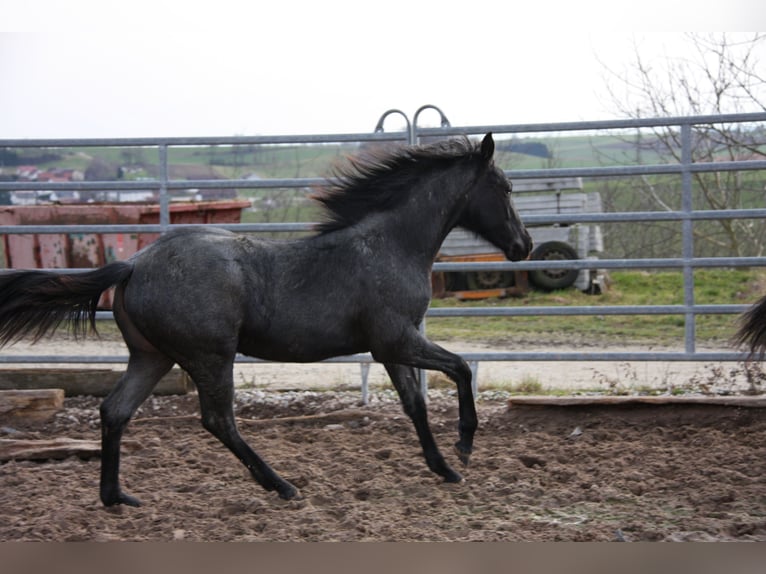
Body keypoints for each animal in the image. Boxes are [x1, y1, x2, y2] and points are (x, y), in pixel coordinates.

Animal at [0, 134, 536, 508]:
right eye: (506, 187)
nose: (524, 245)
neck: (390, 245)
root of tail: (133, 264)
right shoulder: (396, 341)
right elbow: (461, 369)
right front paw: (464, 447)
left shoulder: (389, 349)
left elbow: (415, 405)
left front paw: (445, 469)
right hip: (211, 356)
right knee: (217, 419)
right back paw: (283, 486)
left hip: (152, 358)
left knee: (115, 411)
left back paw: (117, 498)